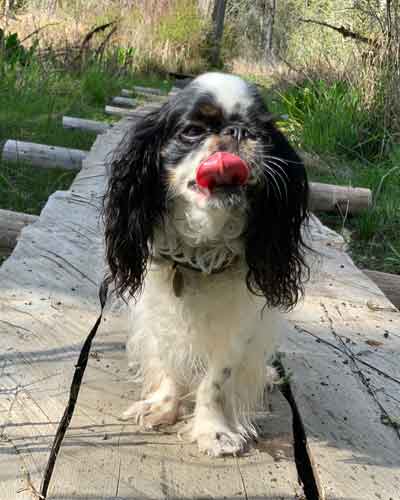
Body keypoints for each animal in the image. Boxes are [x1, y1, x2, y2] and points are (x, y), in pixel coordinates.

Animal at [104, 71, 310, 458]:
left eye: (261, 132)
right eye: (193, 130)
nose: (238, 131)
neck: (202, 247)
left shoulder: (241, 321)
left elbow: (216, 379)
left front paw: (214, 431)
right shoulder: (160, 307)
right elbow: (169, 359)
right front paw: (163, 408)